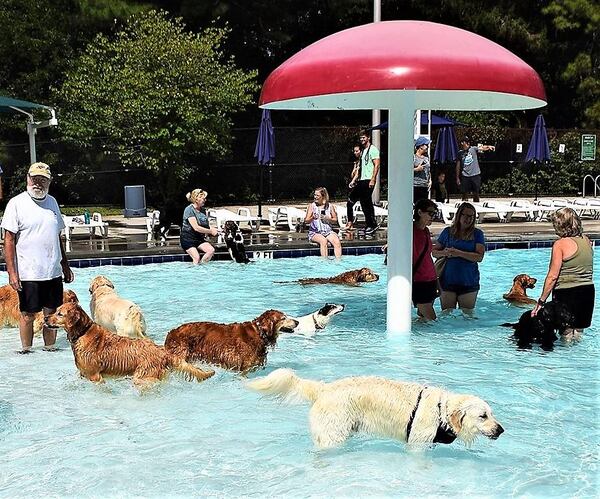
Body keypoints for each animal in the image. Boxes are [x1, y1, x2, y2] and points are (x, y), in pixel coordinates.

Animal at [47, 300, 216, 386]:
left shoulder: (94, 377)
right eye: (56, 310)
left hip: (143, 375)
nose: (46, 318)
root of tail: (162, 351)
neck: (83, 332)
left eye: (59, 314)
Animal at [246, 370, 504, 452]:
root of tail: (324, 388)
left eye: (492, 414)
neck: (441, 410)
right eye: (483, 416)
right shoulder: (417, 445)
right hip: (332, 435)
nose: (502, 430)